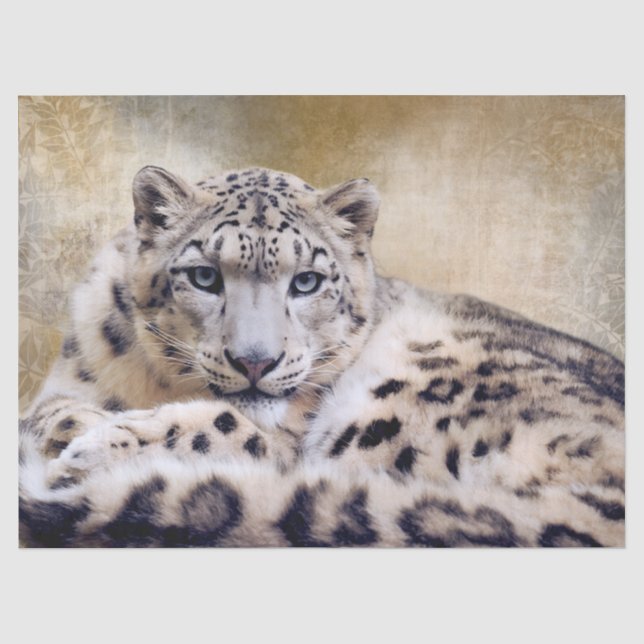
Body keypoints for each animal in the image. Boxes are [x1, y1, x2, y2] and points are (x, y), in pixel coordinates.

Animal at [18, 165, 625, 547]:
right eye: (204, 276)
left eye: (307, 280)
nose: (255, 361)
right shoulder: (66, 376)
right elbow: (49, 412)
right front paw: (76, 432)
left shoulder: (287, 444)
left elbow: (227, 428)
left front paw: (90, 451)